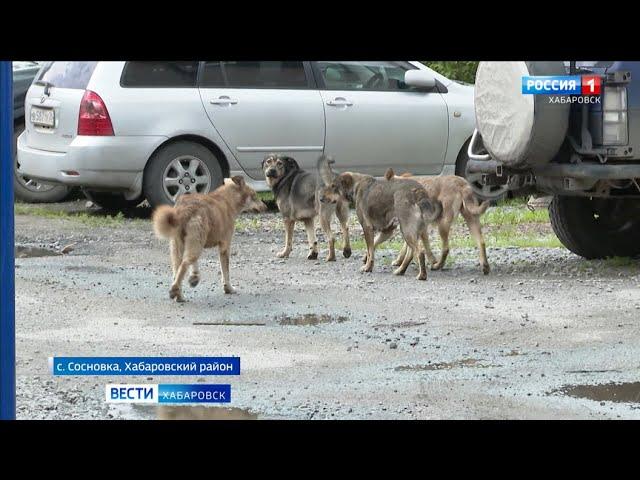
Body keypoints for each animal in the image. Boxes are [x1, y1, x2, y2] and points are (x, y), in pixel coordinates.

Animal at [152, 176, 268, 304]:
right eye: (254, 195)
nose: (266, 207)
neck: (228, 199)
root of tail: (183, 209)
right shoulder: (224, 245)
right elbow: (226, 272)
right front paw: (229, 288)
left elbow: (195, 265)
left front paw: (194, 277)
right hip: (194, 243)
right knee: (184, 264)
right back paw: (175, 291)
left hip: (178, 246)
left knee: (178, 269)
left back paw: (179, 295)